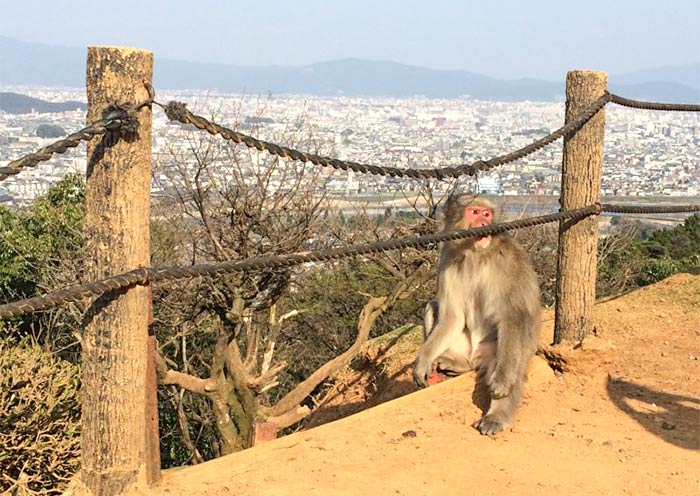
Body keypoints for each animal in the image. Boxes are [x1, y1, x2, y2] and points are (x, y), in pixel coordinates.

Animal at [413, 193, 541, 435]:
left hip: (500, 353)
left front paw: (502, 385)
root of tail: (475, 358)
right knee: (432, 306)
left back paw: (496, 415)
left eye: (487, 214)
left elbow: (513, 315)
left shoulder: (507, 261)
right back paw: (457, 363)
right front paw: (422, 361)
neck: (474, 252)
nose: (484, 223)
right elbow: (452, 316)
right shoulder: (447, 256)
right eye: (474, 212)